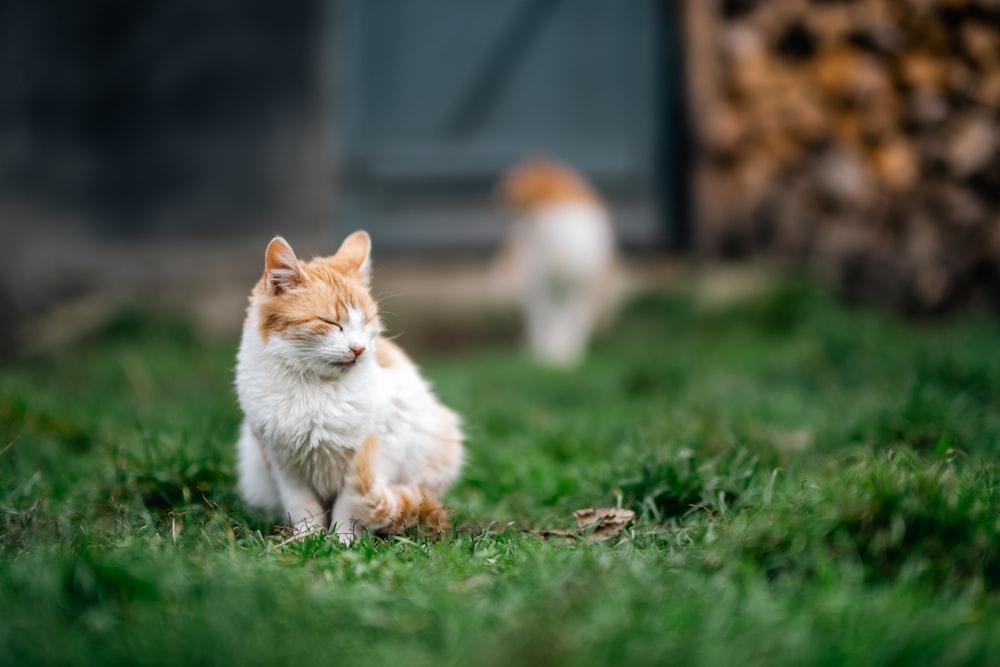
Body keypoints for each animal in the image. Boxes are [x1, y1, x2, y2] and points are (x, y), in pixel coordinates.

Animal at [234, 232, 464, 544]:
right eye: (330, 323)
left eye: (366, 323)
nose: (359, 348)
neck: (314, 389)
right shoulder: (282, 462)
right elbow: (303, 507)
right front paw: (307, 541)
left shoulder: (378, 452)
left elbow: (352, 504)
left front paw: (344, 542)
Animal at [496, 157, 620, 366]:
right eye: (512, 210)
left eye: (519, 209)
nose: (511, 233)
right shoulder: (544, 287)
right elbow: (550, 322)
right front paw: (549, 357)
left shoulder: (578, 286)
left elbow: (572, 322)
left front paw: (568, 355)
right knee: (538, 320)